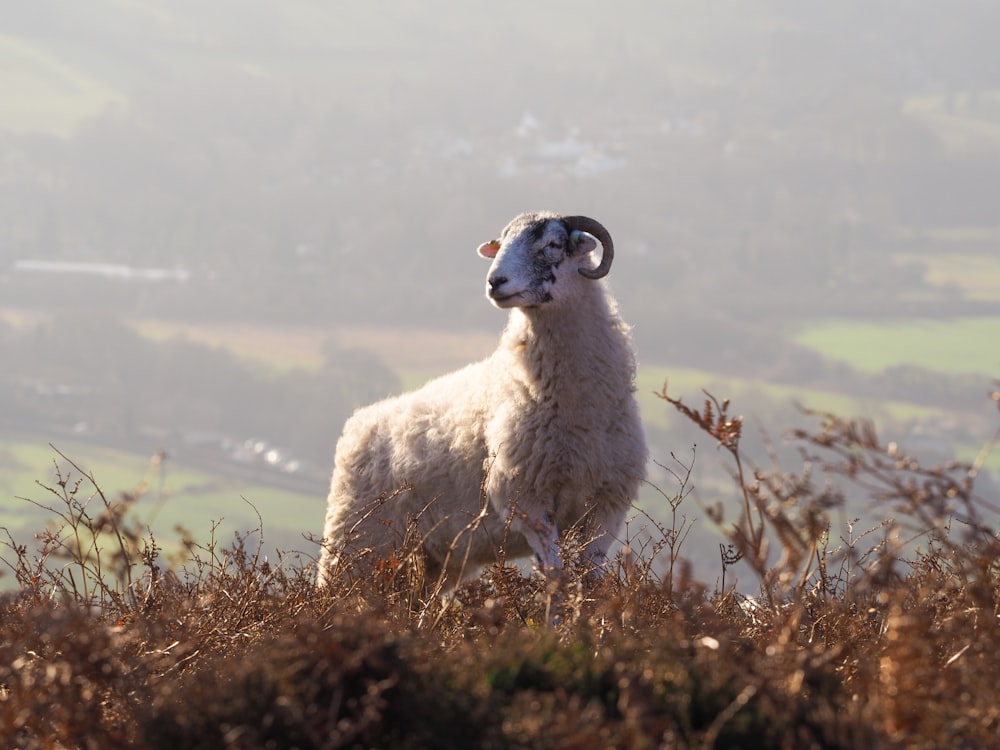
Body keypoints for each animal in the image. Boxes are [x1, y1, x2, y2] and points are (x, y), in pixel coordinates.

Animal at [318, 212, 648, 588]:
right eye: (501, 244)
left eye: (551, 244)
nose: (495, 282)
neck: (578, 412)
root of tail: (357, 423)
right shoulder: (527, 499)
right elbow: (555, 578)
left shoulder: (607, 504)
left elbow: (590, 580)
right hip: (359, 541)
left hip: (426, 558)